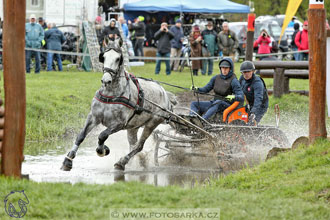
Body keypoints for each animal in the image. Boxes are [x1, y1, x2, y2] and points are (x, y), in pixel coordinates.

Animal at [61, 37, 177, 171]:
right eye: (103, 57)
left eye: (118, 58)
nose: (106, 80)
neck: (111, 95)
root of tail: (164, 93)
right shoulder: (93, 117)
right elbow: (81, 136)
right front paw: (68, 160)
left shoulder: (119, 124)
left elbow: (102, 135)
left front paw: (102, 149)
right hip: (133, 127)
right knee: (133, 145)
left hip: (151, 124)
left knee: (139, 146)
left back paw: (122, 162)